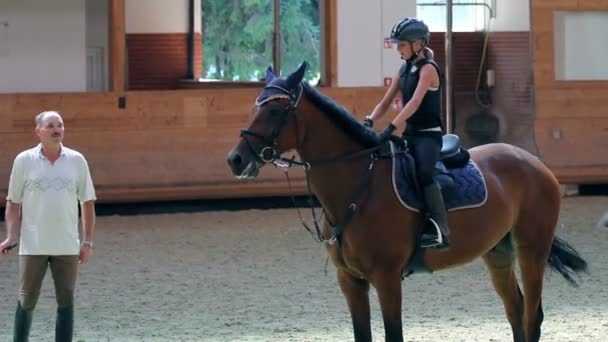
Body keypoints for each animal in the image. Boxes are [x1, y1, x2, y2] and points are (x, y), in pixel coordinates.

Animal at [226, 62, 588, 340]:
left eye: (274, 109)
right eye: (254, 107)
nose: (236, 160)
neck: (358, 184)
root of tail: (535, 162)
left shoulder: (386, 278)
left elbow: (393, 334)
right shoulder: (351, 281)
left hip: (531, 251)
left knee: (531, 316)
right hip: (498, 253)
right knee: (515, 310)